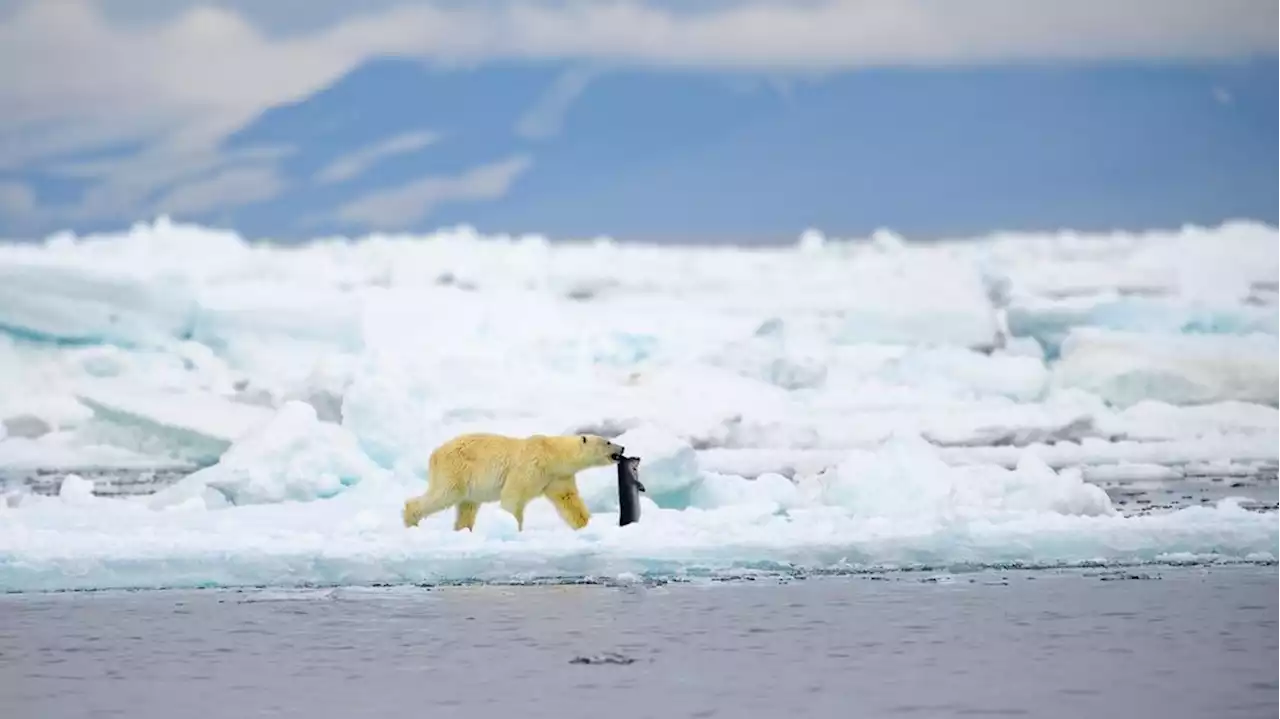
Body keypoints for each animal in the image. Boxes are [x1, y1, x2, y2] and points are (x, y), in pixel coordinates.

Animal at [396, 427, 622, 529]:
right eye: (608, 442)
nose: (622, 448)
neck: (552, 454)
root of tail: (434, 454)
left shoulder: (558, 476)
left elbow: (569, 500)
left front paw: (585, 525)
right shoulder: (531, 467)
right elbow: (513, 497)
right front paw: (517, 529)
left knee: (467, 506)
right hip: (456, 469)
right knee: (443, 494)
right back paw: (411, 521)